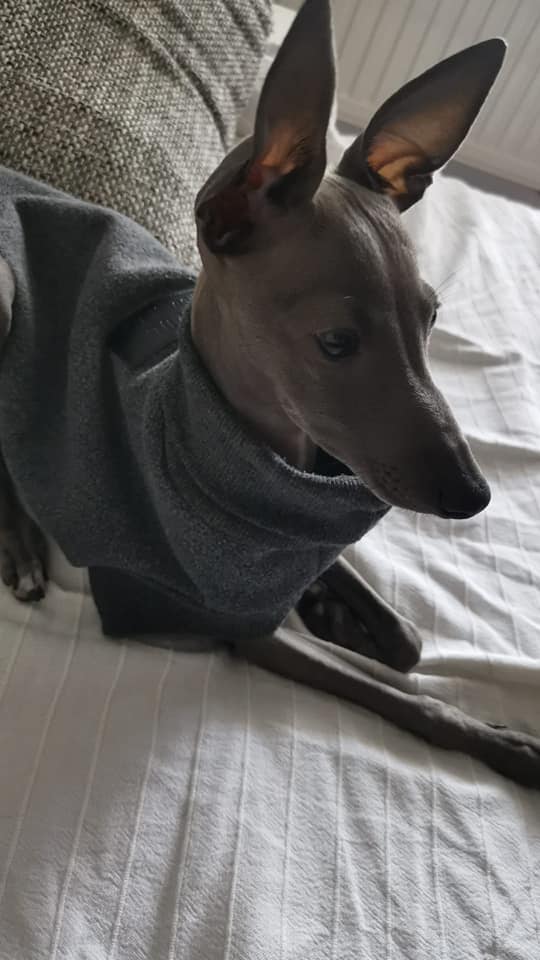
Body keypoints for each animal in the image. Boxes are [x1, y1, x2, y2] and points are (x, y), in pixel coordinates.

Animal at [0, 0, 538, 786]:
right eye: (336, 342)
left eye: (432, 318)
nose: (474, 496)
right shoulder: (229, 623)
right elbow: (400, 693)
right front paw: (505, 743)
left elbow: (406, 640)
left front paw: (333, 606)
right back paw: (22, 548)